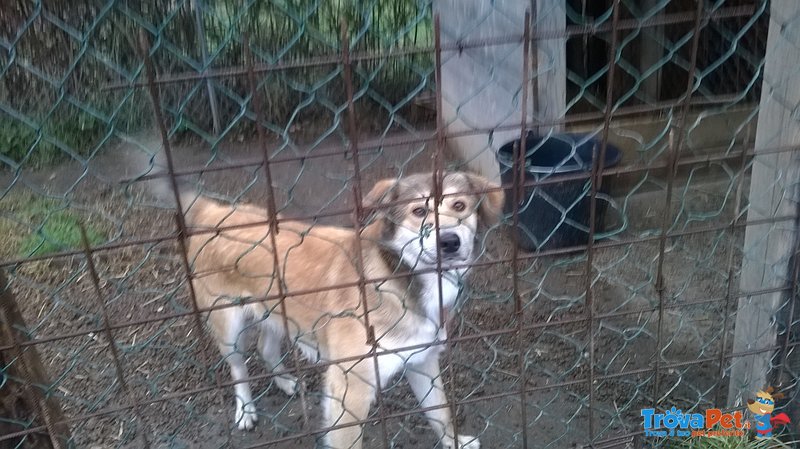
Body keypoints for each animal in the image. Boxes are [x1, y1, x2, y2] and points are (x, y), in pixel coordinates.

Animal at [182, 172, 504, 448]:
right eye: (418, 212)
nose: (449, 242)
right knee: (238, 369)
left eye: (459, 205)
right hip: (229, 330)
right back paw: (246, 410)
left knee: (266, 347)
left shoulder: (422, 361)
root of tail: (213, 212)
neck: (400, 277)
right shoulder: (350, 390)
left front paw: (454, 441)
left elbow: (440, 410)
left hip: (277, 313)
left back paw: (285, 382)